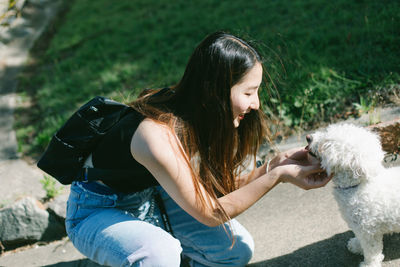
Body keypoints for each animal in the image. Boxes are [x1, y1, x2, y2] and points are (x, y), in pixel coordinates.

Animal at [306, 124, 400, 267]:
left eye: (327, 143)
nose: (308, 137)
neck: (357, 186)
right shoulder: (359, 227)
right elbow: (360, 241)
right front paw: (356, 246)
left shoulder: (368, 230)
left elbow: (372, 252)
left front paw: (369, 264)